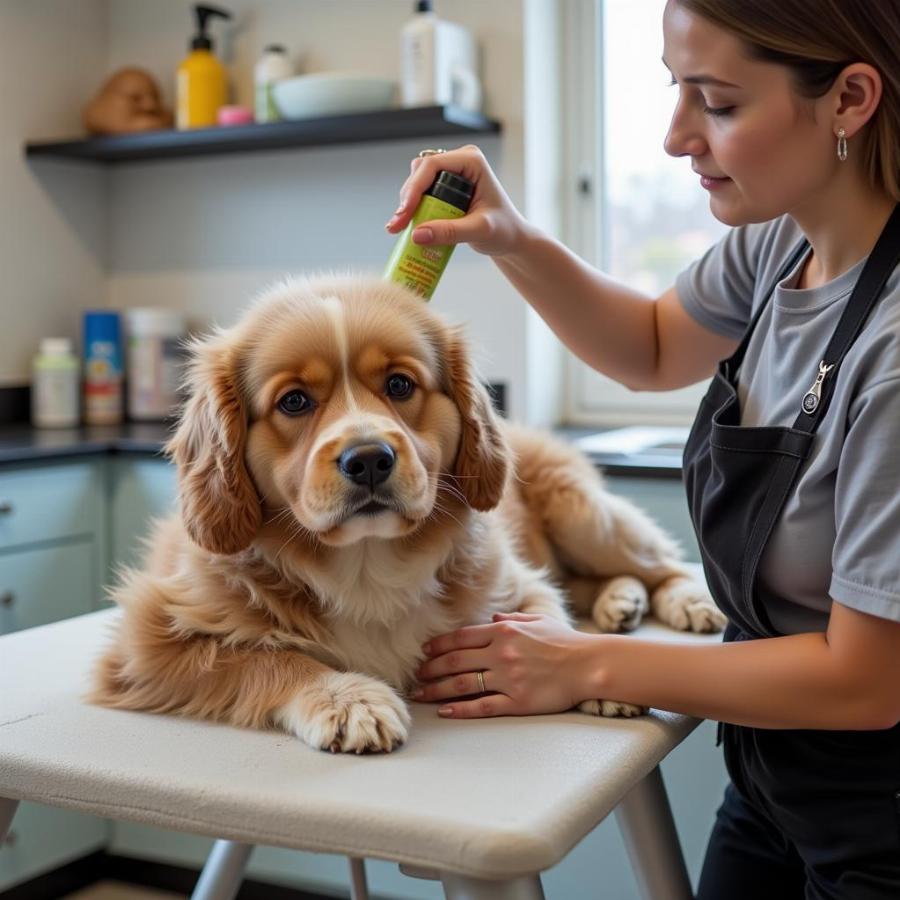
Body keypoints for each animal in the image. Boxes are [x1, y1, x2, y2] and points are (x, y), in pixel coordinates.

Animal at [89, 274, 724, 752]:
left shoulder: (519, 587)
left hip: (584, 516)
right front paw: (348, 698)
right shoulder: (146, 645)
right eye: (294, 401)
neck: (367, 561)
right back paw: (621, 602)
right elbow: (268, 660)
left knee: (658, 563)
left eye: (399, 385)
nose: (369, 459)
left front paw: (589, 668)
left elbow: (551, 623)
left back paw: (682, 601)